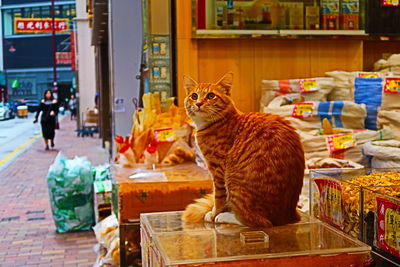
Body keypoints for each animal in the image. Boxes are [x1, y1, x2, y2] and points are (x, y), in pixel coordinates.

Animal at [183, 73, 304, 228]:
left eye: (210, 96)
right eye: (194, 95)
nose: (198, 103)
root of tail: (287, 217)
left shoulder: (218, 170)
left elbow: (219, 197)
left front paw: (214, 213)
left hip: (233, 182)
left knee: (257, 221)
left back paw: (225, 217)